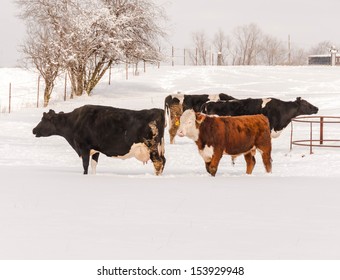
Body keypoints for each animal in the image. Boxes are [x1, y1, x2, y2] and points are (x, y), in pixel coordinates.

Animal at [32, 105, 166, 175]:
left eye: (44, 119)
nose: (33, 130)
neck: (74, 122)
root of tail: (158, 110)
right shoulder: (95, 149)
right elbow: (93, 165)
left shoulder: (84, 147)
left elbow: (85, 165)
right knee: (163, 161)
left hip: (152, 147)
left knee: (158, 162)